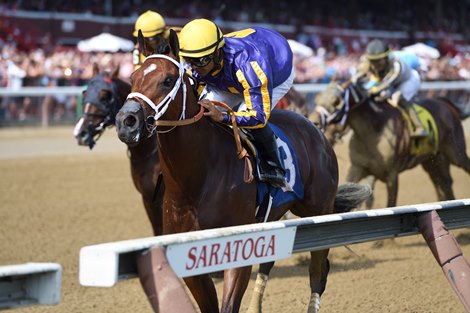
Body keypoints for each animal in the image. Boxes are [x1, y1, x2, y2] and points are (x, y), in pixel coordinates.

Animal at [114, 29, 370, 312]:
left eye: (168, 80)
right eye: (133, 78)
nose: (126, 122)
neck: (196, 181)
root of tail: (316, 131)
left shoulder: (237, 249)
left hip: (319, 212)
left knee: (318, 273)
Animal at [308, 80, 470, 208]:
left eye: (336, 101)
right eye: (317, 98)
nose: (313, 120)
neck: (373, 132)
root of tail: (444, 103)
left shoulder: (392, 175)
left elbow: (390, 203)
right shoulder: (357, 167)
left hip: (456, 153)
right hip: (433, 161)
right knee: (443, 184)